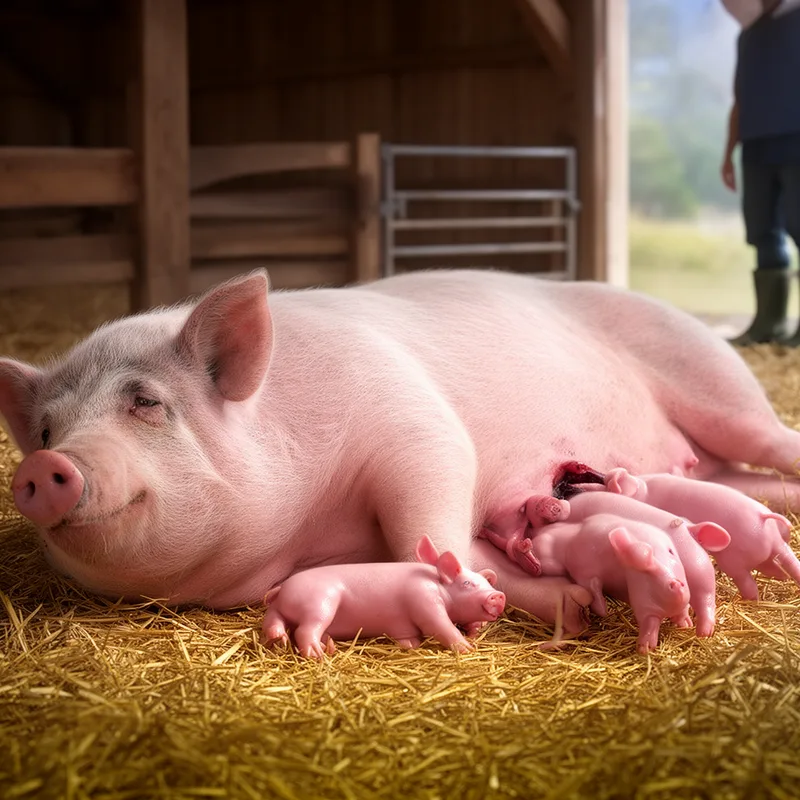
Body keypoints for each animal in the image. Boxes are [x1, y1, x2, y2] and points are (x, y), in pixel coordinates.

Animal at [261, 534, 506, 658]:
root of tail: (284, 589)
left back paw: (290, 641)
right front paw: (467, 648)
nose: (498, 595)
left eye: (486, 583)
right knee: (304, 630)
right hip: (320, 603)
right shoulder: (425, 602)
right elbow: (441, 626)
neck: (440, 588)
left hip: (283, 608)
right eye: (468, 584)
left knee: (274, 621)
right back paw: (319, 654)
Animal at [525, 515, 692, 653]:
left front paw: (604, 612)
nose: (675, 584)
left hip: (643, 600)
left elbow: (594, 592)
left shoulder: (583, 571)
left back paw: (643, 650)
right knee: (673, 614)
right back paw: (685, 626)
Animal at [604, 467, 800, 600]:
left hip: (734, 560)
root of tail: (762, 517)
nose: (608, 475)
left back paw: (748, 600)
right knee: (786, 563)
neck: (646, 487)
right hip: (776, 546)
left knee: (747, 582)